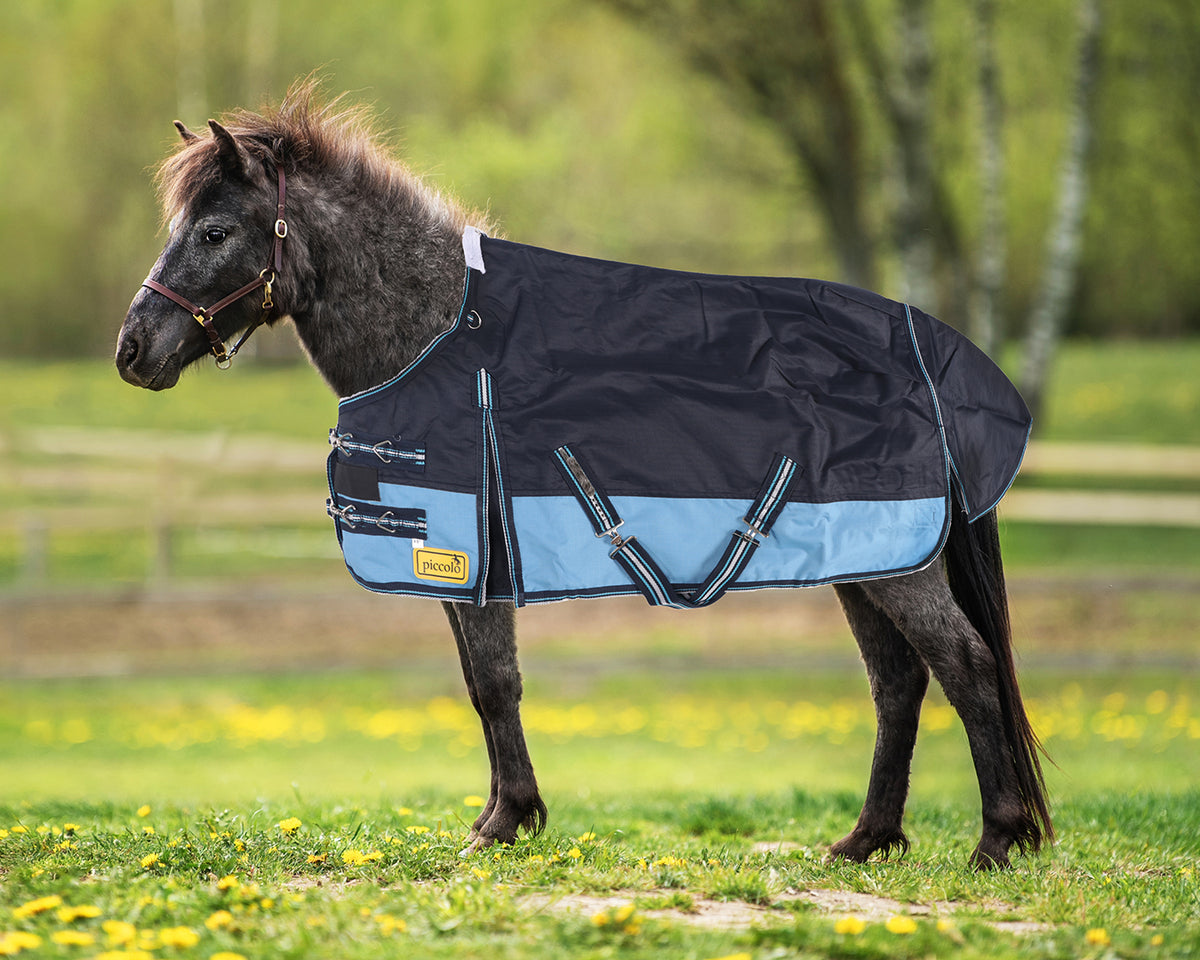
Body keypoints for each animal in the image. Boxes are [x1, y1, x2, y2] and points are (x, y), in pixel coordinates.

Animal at [115, 82, 1051, 869]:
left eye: (214, 231)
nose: (133, 350)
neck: (442, 333)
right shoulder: (464, 557)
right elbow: (481, 684)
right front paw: (503, 814)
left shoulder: (473, 553)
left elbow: (496, 682)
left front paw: (505, 823)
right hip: (866, 563)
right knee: (899, 684)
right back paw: (865, 841)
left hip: (900, 569)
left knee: (966, 667)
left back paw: (996, 842)